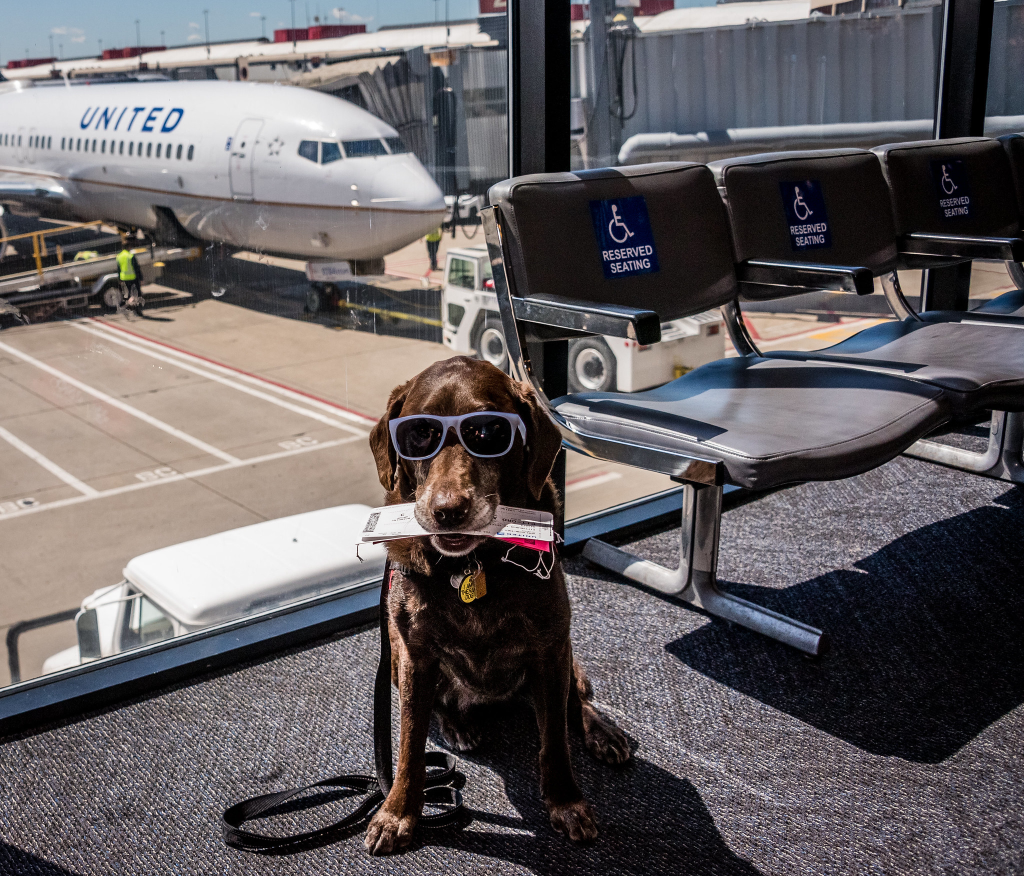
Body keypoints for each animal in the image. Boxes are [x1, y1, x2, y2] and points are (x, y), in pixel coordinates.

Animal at [364, 356, 626, 856]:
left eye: (488, 432)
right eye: (419, 434)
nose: (448, 511)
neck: (472, 564)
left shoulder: (550, 648)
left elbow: (555, 740)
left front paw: (566, 801)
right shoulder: (413, 653)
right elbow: (408, 743)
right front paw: (397, 812)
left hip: (569, 660)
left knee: (574, 702)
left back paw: (602, 733)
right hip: (395, 665)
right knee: (440, 705)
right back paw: (458, 725)